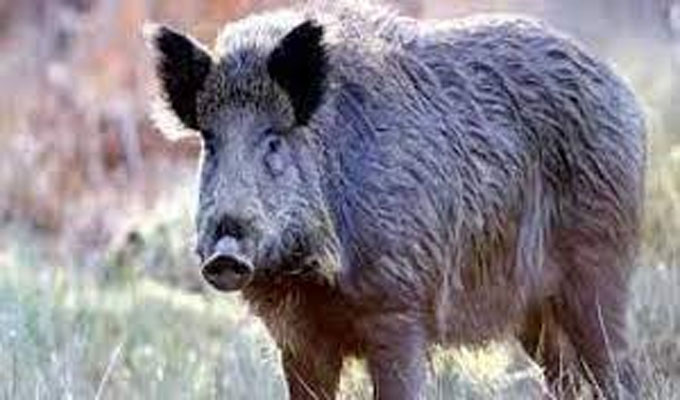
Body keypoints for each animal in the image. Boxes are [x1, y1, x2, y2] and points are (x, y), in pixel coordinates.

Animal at [145, 1, 645, 399]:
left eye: (273, 140)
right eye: (210, 142)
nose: (224, 255)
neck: (308, 280)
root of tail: (622, 91)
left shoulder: (399, 308)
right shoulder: (298, 339)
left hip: (601, 263)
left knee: (617, 364)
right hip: (535, 310)